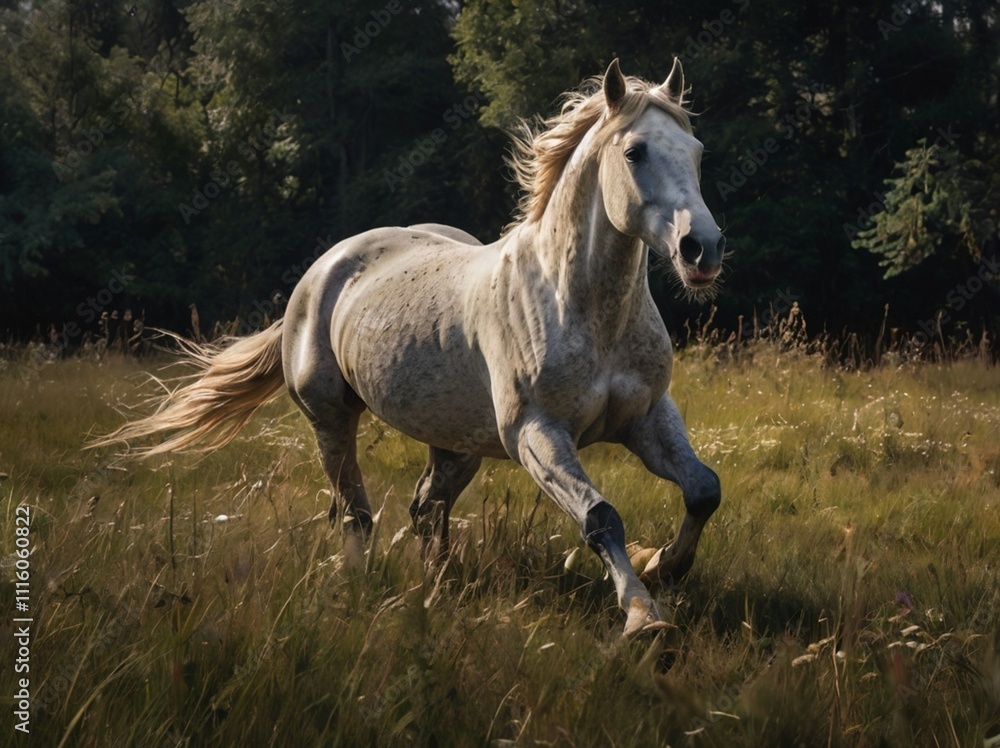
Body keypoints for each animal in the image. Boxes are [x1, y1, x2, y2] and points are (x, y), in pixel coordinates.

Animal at [95, 59, 727, 636]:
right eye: (635, 152)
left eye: (697, 151)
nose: (703, 249)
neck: (585, 307)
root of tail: (323, 269)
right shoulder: (537, 434)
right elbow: (599, 517)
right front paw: (645, 618)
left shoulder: (647, 417)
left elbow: (703, 491)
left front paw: (663, 566)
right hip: (331, 419)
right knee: (357, 512)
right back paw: (364, 588)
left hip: (456, 444)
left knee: (425, 511)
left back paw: (439, 589)